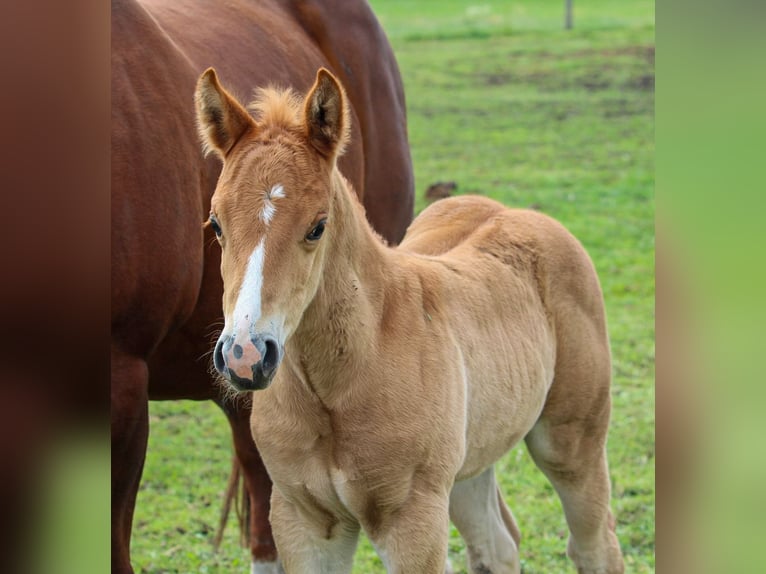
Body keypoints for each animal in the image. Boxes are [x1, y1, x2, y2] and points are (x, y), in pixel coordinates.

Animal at [196, 67, 626, 574]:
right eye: (216, 224)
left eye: (317, 226)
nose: (245, 355)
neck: (349, 375)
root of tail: (522, 213)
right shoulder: (303, 519)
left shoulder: (411, 519)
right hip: (467, 463)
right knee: (497, 544)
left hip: (570, 442)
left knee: (594, 543)